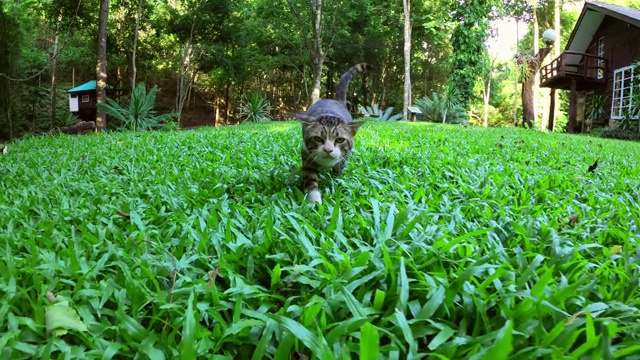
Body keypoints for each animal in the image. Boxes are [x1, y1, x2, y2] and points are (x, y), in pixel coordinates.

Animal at [294, 63, 370, 204]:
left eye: (340, 140)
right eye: (318, 139)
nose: (328, 150)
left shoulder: (344, 157)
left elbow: (338, 172)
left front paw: (336, 183)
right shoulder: (307, 155)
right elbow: (310, 177)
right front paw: (315, 201)